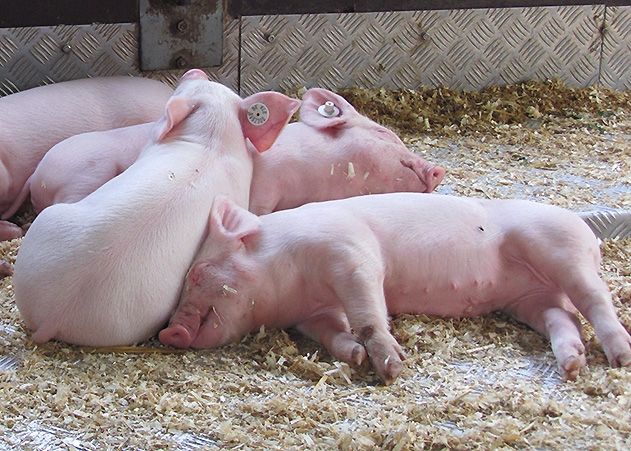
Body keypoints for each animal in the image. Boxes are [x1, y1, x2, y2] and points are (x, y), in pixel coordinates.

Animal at [159, 193, 631, 384]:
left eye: (198, 274)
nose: (168, 331)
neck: (294, 288)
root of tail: (590, 236)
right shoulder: (314, 313)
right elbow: (334, 331)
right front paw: (352, 355)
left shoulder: (351, 253)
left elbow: (369, 311)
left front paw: (391, 367)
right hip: (530, 298)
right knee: (563, 316)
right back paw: (572, 364)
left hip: (556, 246)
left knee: (595, 298)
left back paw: (620, 356)